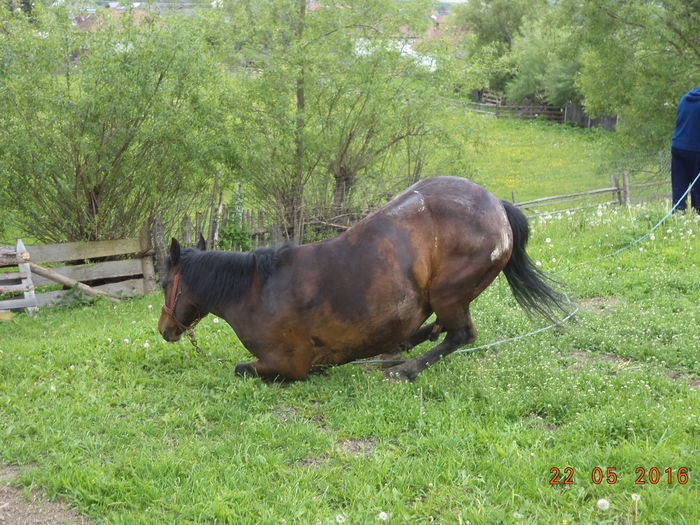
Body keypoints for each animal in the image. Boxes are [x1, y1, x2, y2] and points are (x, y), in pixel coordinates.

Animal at [159, 177, 564, 380]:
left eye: (164, 284)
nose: (164, 329)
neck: (258, 291)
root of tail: (498, 205)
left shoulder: (289, 364)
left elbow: (241, 369)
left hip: (450, 292)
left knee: (460, 334)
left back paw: (404, 370)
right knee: (437, 329)